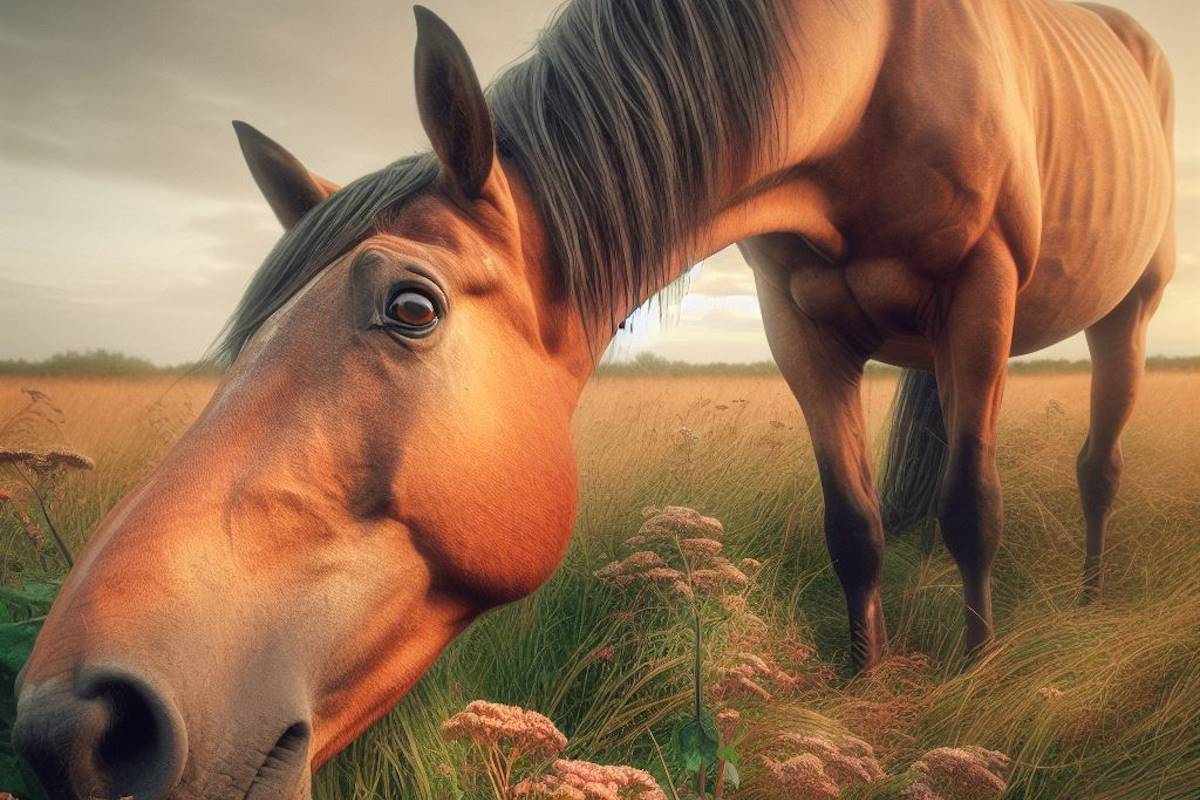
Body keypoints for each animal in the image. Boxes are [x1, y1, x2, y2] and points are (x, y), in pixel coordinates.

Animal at [13, 1, 1174, 797]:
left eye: (411, 306)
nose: (77, 724)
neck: (870, 77)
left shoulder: (982, 293)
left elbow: (973, 510)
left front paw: (976, 689)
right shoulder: (801, 328)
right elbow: (855, 529)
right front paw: (862, 690)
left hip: (1125, 313)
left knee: (1099, 466)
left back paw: (1085, 599)